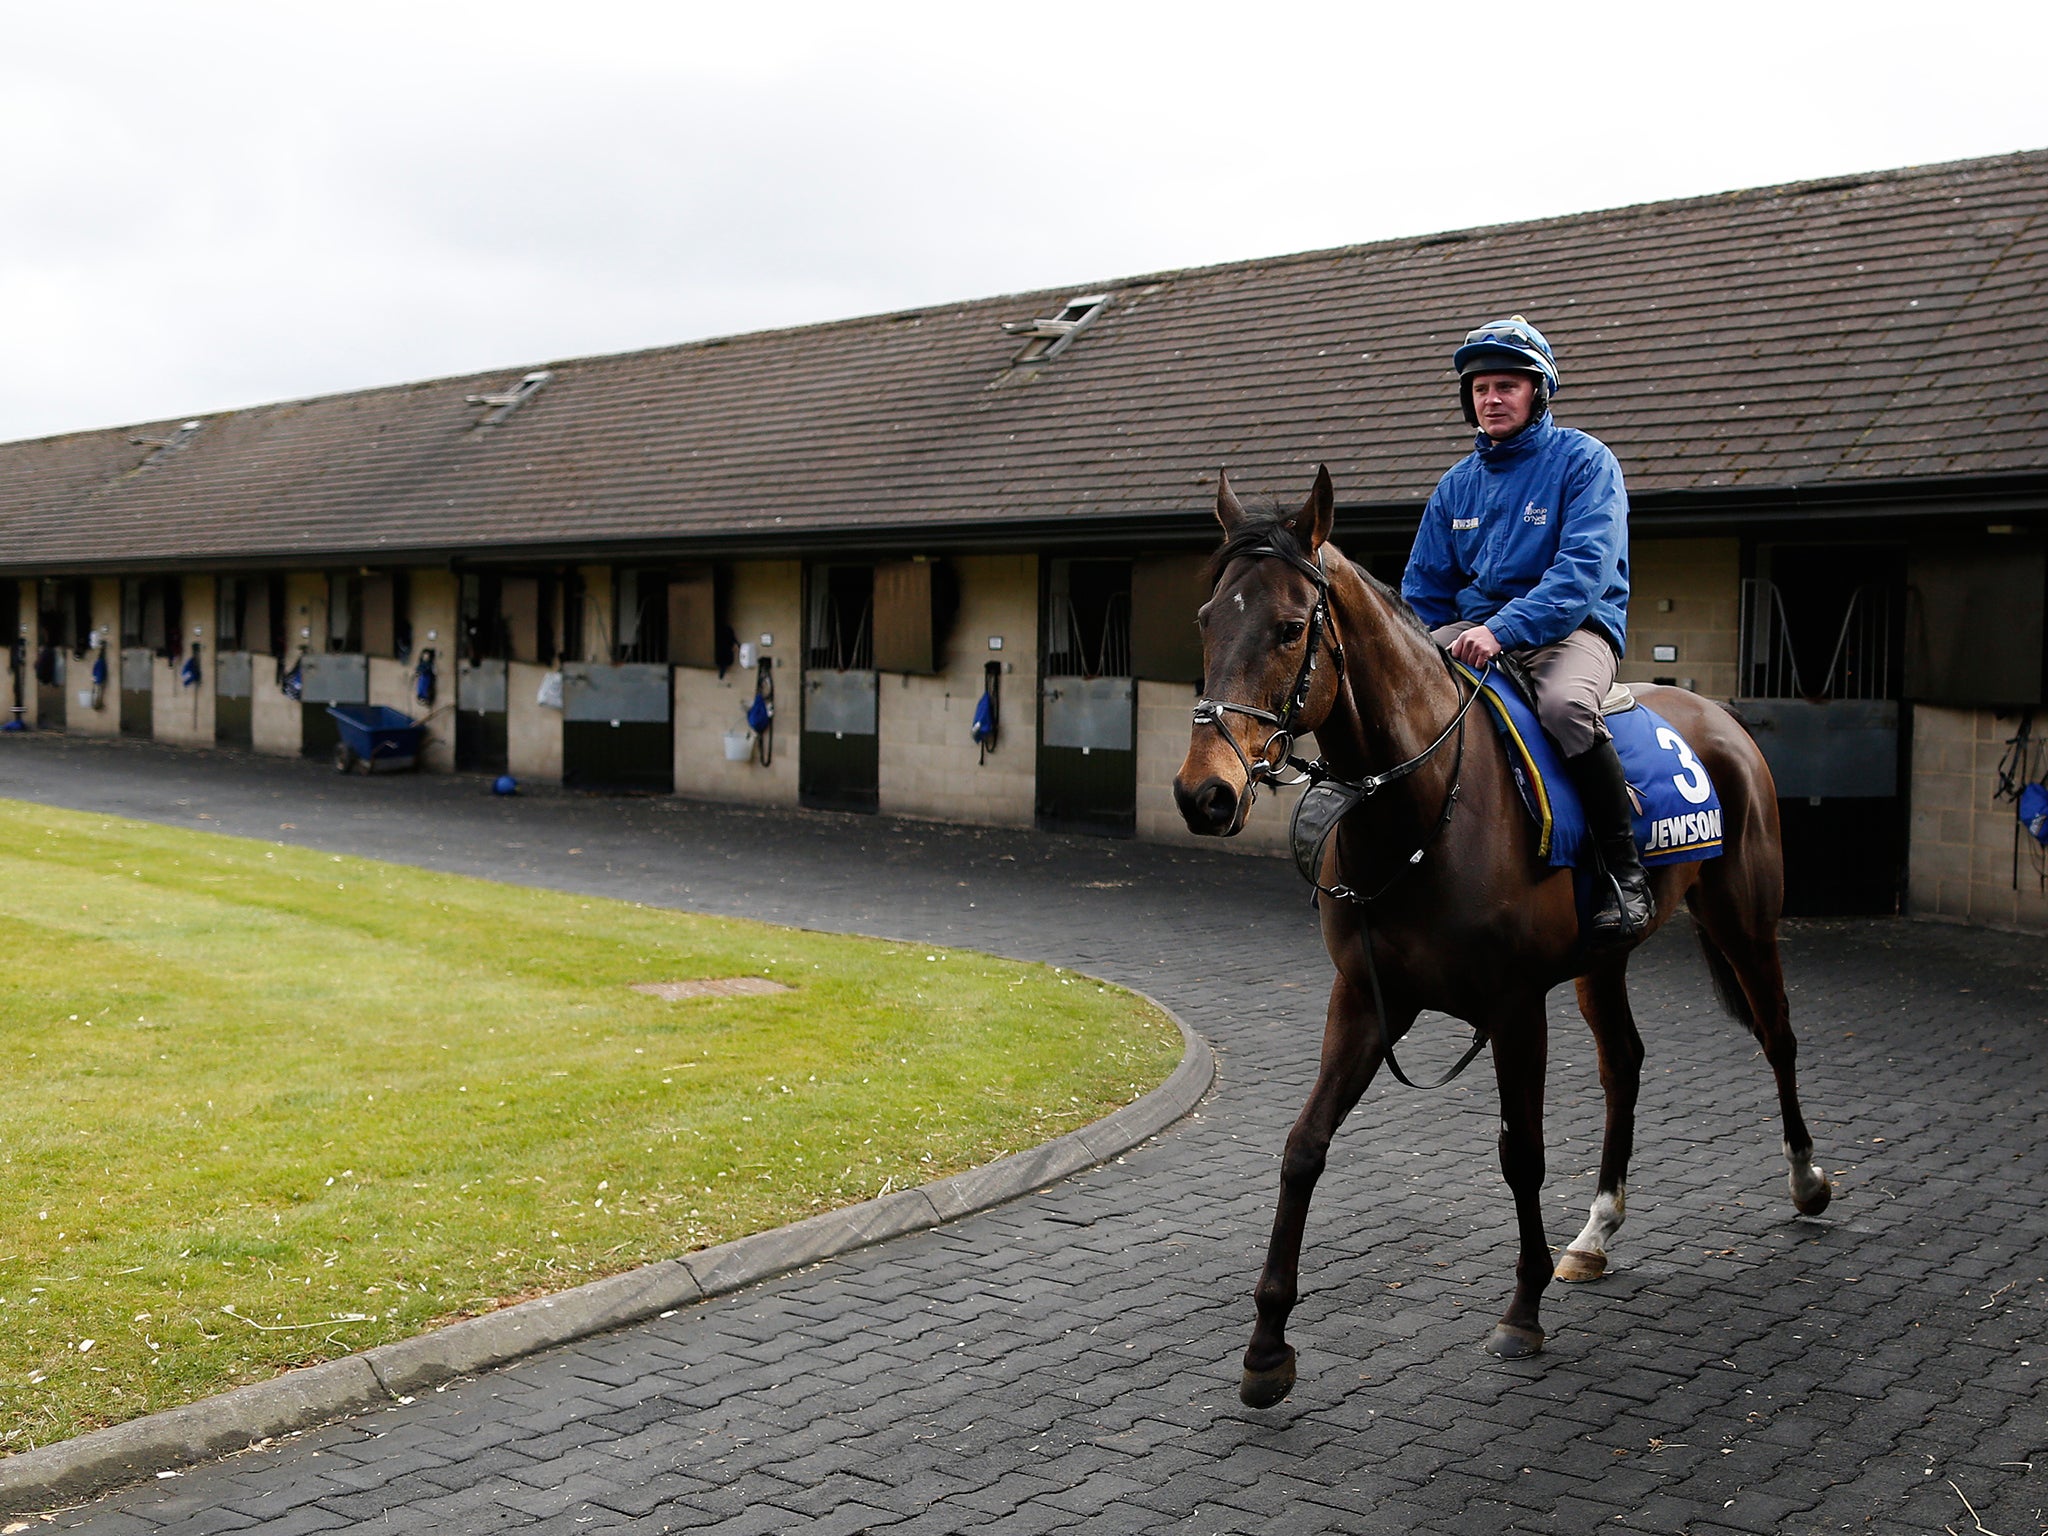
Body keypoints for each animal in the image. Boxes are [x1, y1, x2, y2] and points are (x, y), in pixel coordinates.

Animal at [1179, 466, 1835, 1409]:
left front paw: (1520, 1313)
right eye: (1207, 618)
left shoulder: (1517, 1007)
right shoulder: (1368, 999)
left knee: (1778, 1036)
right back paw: (1596, 1233)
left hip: (1745, 919)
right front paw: (1267, 1347)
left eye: (1291, 627)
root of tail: (1721, 719)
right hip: (1605, 961)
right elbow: (1304, 1147)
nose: (1205, 794)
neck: (1429, 807)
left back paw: (1807, 1180)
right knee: (1624, 1065)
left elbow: (1520, 1153)